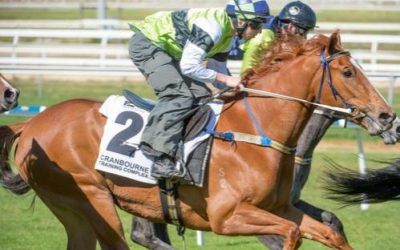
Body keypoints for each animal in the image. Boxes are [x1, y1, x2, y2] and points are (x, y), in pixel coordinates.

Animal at [0, 32, 394, 249]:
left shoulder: (282, 208)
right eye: (348, 72)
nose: (387, 115)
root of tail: (33, 123)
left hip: (74, 209)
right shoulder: (227, 217)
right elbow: (291, 235)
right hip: (89, 197)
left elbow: (330, 233)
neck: (257, 132)